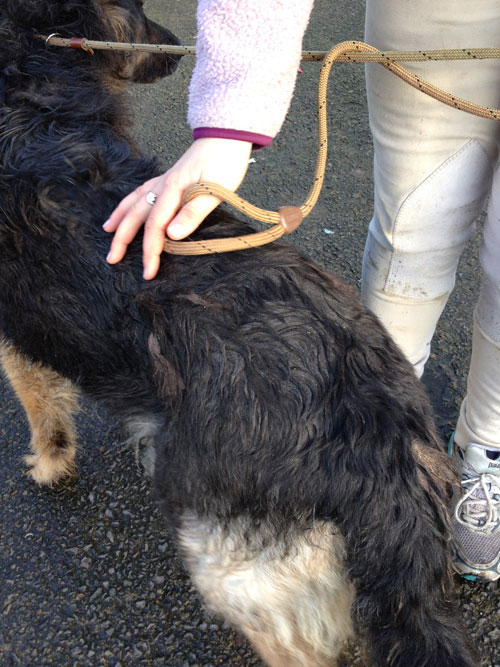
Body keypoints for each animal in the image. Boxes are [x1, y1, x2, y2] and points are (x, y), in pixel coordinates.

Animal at [0, 1, 472, 667]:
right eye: (140, 12)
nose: (178, 46)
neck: (29, 86)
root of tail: (380, 433)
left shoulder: (17, 340)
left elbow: (43, 411)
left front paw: (47, 464)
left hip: (232, 569)